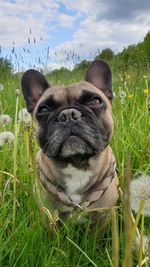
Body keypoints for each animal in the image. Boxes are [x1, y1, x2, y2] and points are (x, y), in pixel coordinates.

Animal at [21, 59, 118, 229]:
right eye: (43, 109)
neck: (76, 164)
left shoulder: (103, 217)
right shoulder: (49, 217)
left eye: (95, 101)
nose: (68, 115)